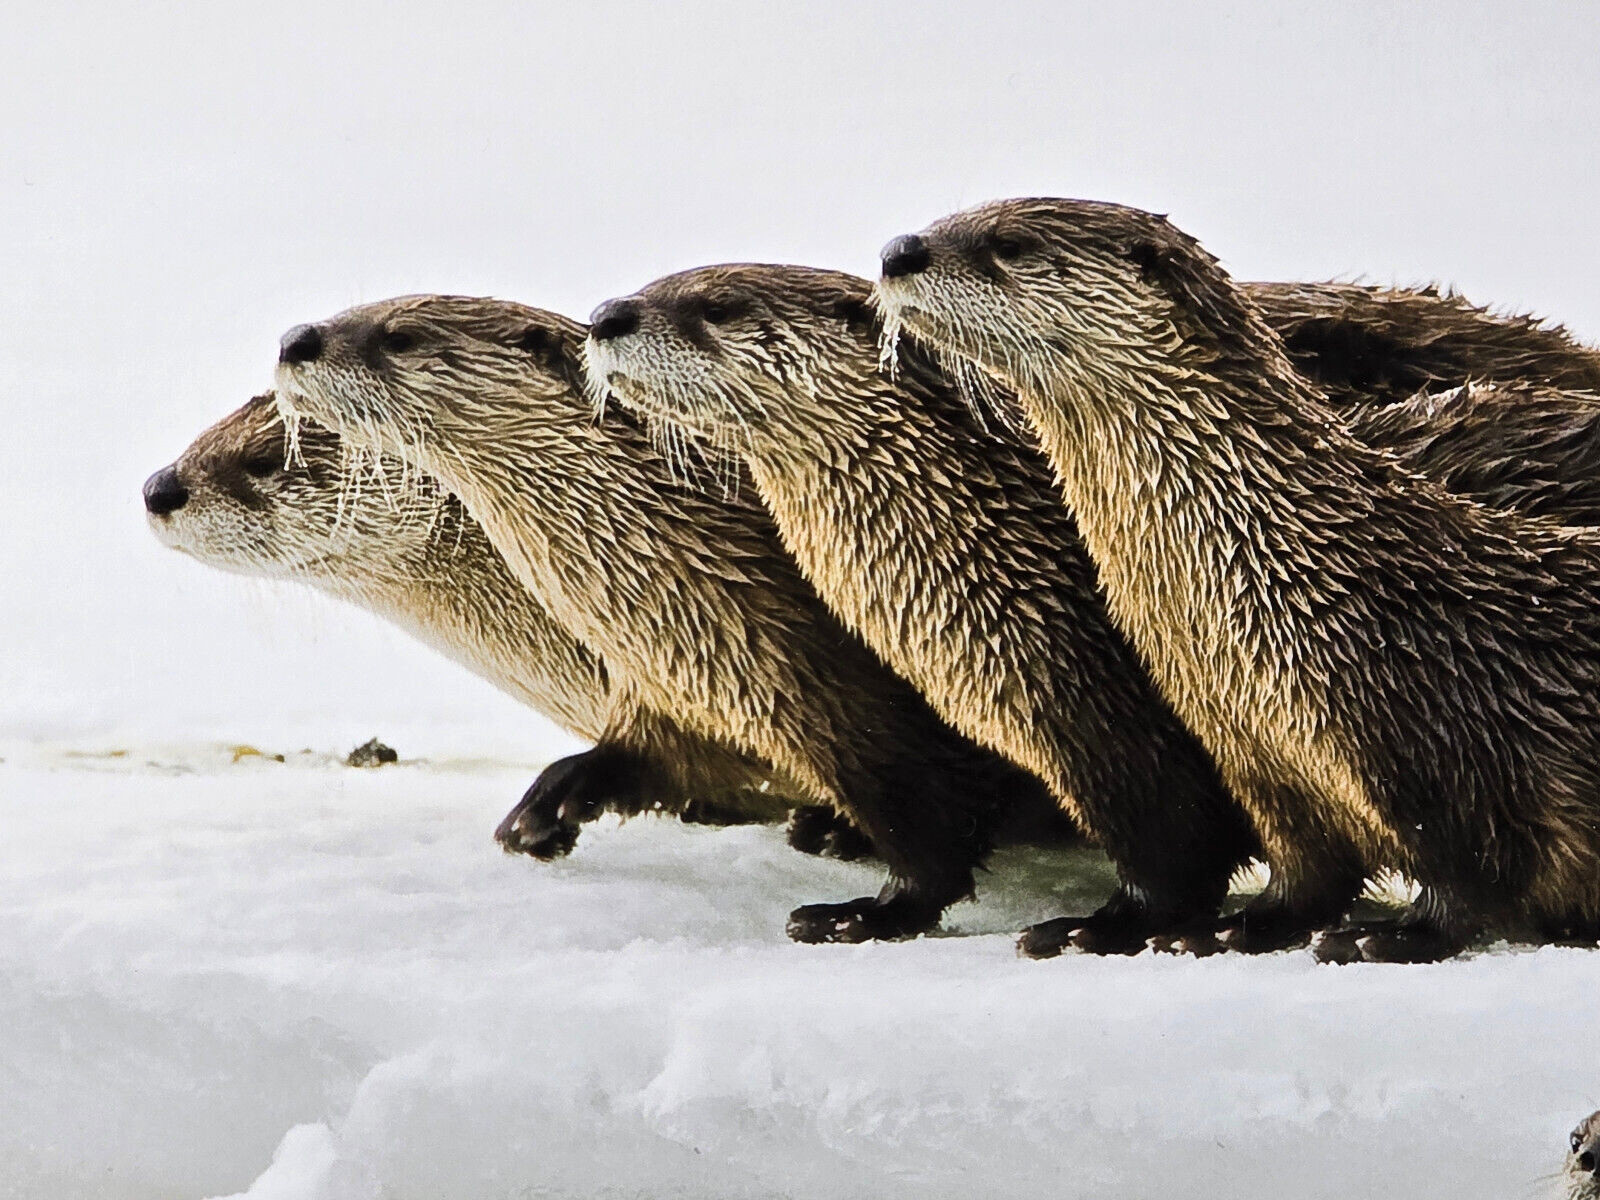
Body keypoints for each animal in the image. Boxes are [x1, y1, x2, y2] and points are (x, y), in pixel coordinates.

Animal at [272, 297, 1063, 943]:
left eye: (397, 336)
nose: (293, 339)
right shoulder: (694, 690)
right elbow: (650, 754)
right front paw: (546, 806)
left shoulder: (878, 716)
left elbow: (935, 834)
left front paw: (866, 916)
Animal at [585, 264, 1262, 956]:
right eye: (651, 286)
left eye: (717, 307)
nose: (606, 317)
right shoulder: (876, 734)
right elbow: (925, 833)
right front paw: (868, 912)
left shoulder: (1122, 718)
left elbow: (1173, 841)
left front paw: (1101, 926)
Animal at [876, 197, 1600, 961]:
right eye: (952, 215)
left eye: (1008, 243)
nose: (897, 251)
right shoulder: (1263, 769)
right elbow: (1307, 873)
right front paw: (1223, 927)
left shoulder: (1449, 760)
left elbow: (1470, 878)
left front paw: (1383, 938)